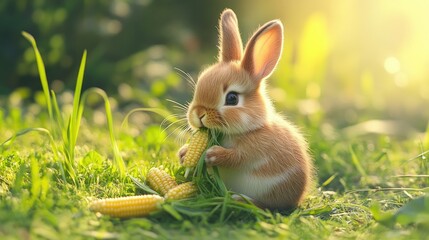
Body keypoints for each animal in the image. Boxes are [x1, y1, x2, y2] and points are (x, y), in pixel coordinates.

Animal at [177, 8, 310, 209]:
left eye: (232, 98)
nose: (198, 114)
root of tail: (298, 197)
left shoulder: (255, 150)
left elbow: (237, 157)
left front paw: (212, 155)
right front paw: (183, 154)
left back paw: (239, 199)